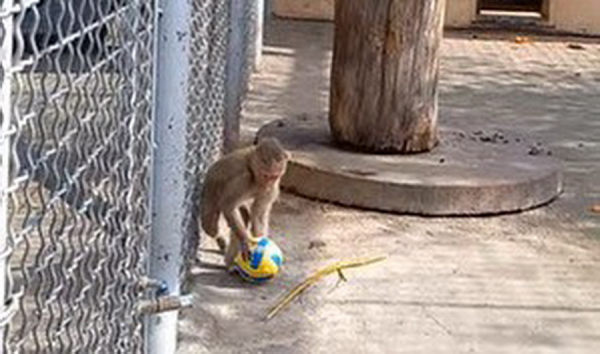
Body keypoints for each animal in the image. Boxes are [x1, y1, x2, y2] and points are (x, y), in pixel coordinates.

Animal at [202, 137, 290, 270]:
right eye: (266, 175)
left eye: (274, 177)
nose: (267, 185)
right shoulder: (243, 179)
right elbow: (228, 207)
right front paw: (245, 241)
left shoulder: (273, 188)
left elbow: (258, 214)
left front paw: (261, 241)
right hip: (210, 192)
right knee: (210, 226)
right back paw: (222, 244)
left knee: (243, 216)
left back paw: (229, 261)